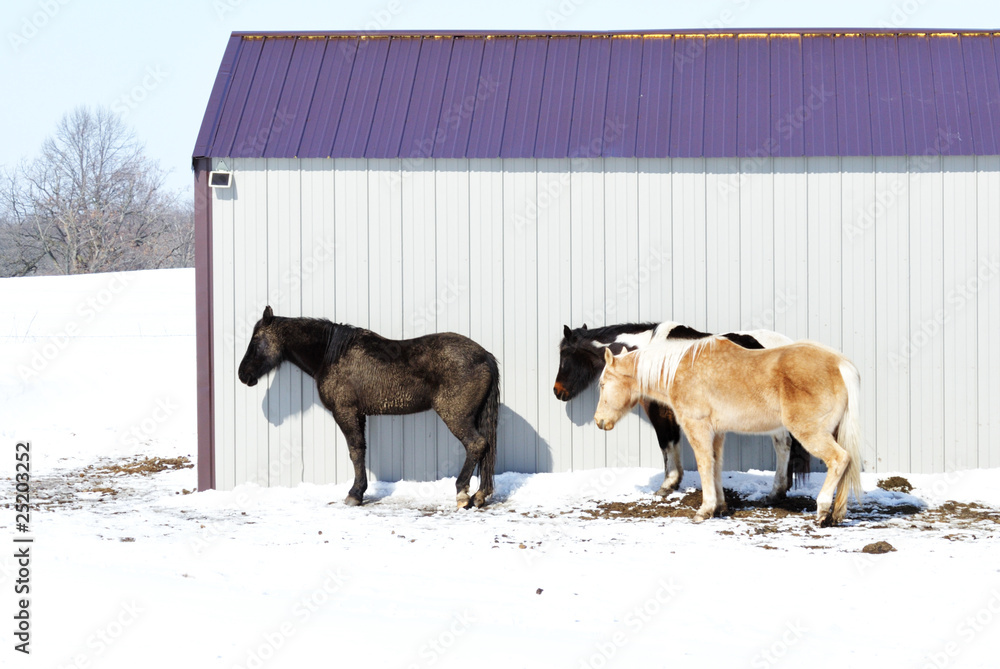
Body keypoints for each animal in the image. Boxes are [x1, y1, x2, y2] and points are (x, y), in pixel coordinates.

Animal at [237, 306, 500, 509]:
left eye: (256, 340)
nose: (243, 374)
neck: (331, 354)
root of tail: (484, 355)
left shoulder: (345, 411)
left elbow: (355, 451)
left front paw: (354, 494)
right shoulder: (359, 414)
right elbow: (361, 450)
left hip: (457, 416)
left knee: (476, 444)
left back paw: (463, 494)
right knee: (484, 446)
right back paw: (480, 495)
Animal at [554, 322, 810, 500]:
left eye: (564, 355)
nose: (558, 391)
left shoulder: (659, 410)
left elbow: (666, 443)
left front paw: (667, 485)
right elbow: (673, 443)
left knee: (783, 444)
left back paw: (775, 493)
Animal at [594, 336, 864, 526]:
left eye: (603, 384)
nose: (599, 421)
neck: (681, 370)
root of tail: (840, 364)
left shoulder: (698, 428)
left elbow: (704, 465)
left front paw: (704, 510)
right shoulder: (718, 433)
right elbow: (716, 465)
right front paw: (720, 508)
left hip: (811, 433)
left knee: (840, 460)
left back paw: (823, 511)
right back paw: (837, 514)